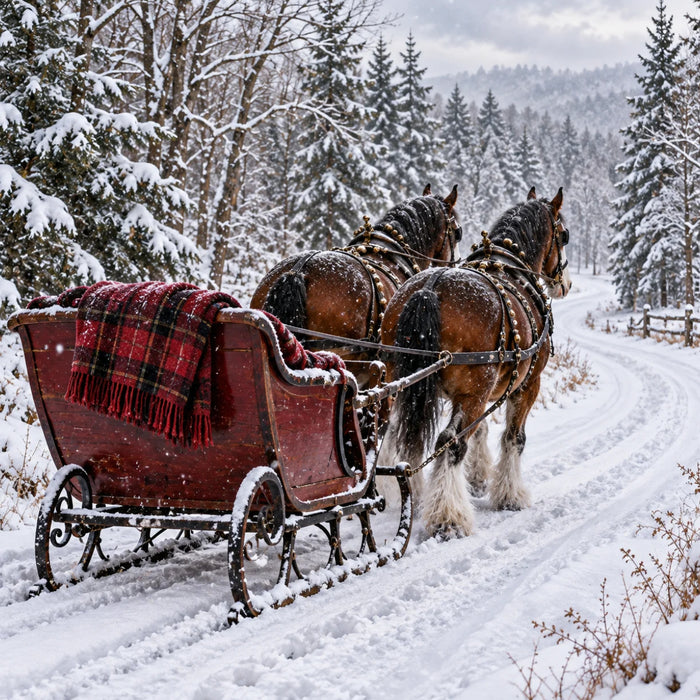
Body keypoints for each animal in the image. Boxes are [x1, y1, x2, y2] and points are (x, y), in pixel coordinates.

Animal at [379, 187, 572, 538]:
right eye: (563, 236)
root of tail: (431, 287)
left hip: (399, 382)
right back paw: (448, 518)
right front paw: (509, 495)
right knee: (449, 443)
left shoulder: (487, 390)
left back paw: (415, 493)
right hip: (473, 392)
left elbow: (480, 430)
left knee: (399, 435)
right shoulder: (526, 386)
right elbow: (514, 438)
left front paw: (478, 480)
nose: (565, 283)